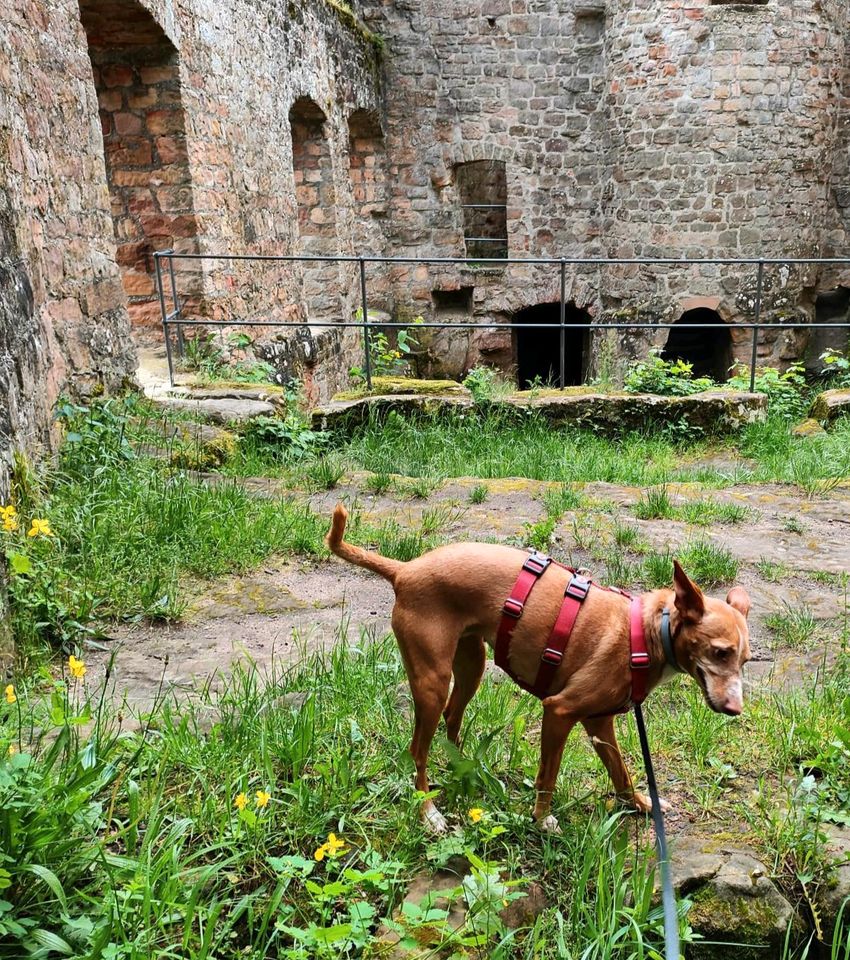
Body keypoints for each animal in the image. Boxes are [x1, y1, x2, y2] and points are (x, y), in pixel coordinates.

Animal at [324, 506, 748, 828]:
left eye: (745, 660)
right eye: (720, 653)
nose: (735, 710)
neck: (646, 633)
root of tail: (405, 569)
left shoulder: (599, 723)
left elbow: (621, 771)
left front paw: (642, 804)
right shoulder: (559, 711)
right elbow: (548, 775)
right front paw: (543, 821)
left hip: (471, 666)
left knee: (452, 720)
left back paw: (466, 768)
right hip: (432, 681)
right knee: (418, 750)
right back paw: (429, 813)